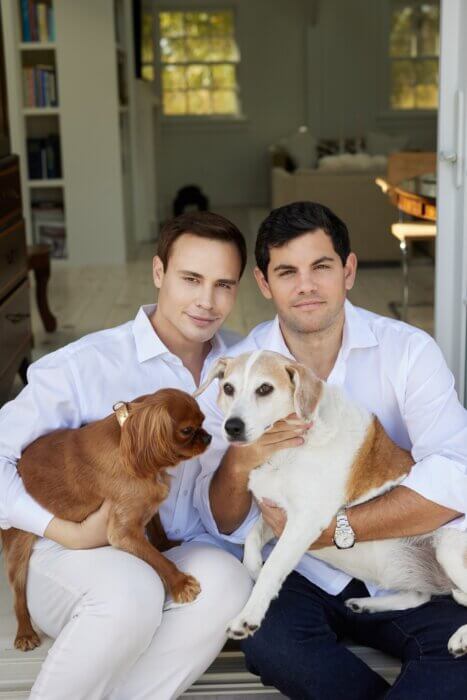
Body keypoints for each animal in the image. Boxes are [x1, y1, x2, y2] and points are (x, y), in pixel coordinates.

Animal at [0, 388, 212, 652]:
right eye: (187, 430)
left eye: (203, 422)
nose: (208, 437)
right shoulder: (123, 532)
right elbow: (157, 559)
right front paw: (181, 583)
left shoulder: (145, 504)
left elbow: (156, 527)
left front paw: (165, 544)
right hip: (17, 545)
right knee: (18, 596)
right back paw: (25, 634)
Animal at [196, 350, 467, 656]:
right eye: (228, 388)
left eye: (264, 388)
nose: (232, 427)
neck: (286, 453)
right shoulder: (276, 513)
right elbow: (252, 539)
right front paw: (253, 568)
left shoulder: (304, 521)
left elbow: (273, 567)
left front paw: (248, 615)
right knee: (419, 595)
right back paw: (368, 604)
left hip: (449, 548)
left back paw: (462, 637)